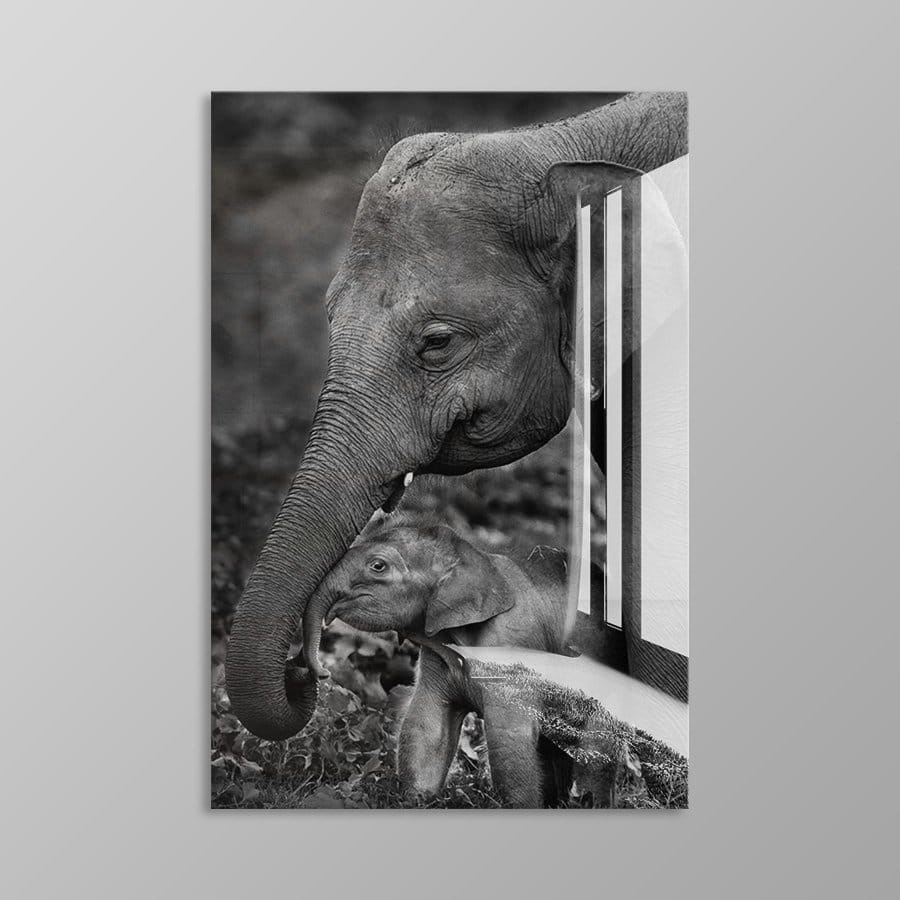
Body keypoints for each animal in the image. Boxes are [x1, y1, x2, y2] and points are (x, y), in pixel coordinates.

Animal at [300, 516, 633, 806]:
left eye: (378, 566)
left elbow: (507, 737)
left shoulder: (512, 651)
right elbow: (426, 724)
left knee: (596, 747)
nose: (323, 672)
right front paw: (416, 801)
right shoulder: (437, 656)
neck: (475, 557)